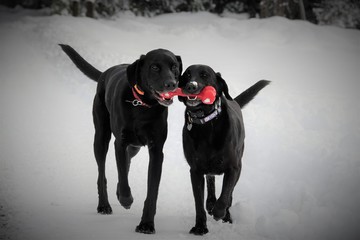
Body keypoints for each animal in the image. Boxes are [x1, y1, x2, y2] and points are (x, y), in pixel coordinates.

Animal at [60, 44, 183, 233]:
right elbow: (122, 176)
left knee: (127, 161)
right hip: (101, 138)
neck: (142, 105)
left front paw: (146, 224)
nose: (171, 84)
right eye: (155, 67)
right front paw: (126, 199)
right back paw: (104, 205)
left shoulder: (156, 151)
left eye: (174, 67)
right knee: (102, 174)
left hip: (135, 146)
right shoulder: (120, 142)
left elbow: (152, 191)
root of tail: (105, 73)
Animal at [179, 63, 268, 234]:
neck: (206, 124)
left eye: (205, 75)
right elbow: (198, 202)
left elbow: (226, 194)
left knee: (229, 193)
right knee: (211, 181)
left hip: (238, 163)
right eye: (187, 75)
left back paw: (225, 213)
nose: (191, 86)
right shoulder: (195, 170)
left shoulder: (233, 168)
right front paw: (200, 227)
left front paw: (220, 212)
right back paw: (210, 203)